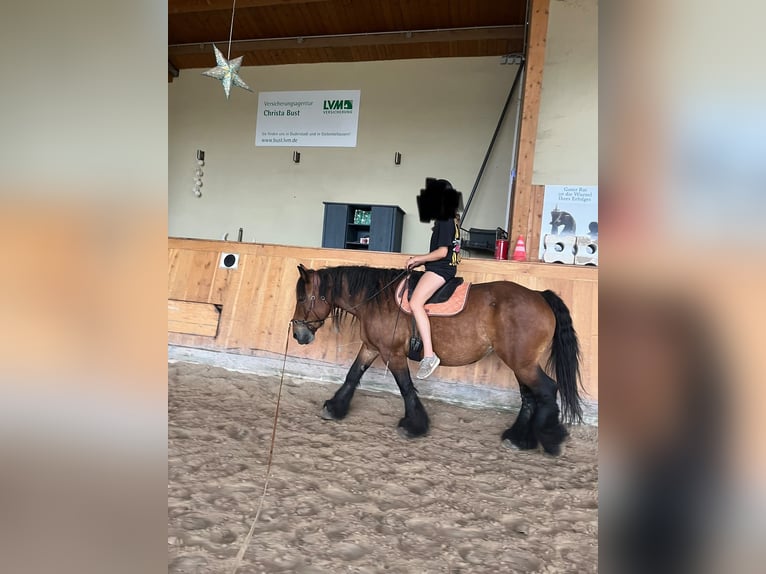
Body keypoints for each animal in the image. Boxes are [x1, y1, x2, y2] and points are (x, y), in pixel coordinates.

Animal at [290, 264, 583, 455]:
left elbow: (406, 387)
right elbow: (353, 374)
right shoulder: (372, 347)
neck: (376, 299)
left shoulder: (392, 353)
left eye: (302, 297)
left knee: (547, 390)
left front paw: (414, 425)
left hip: (522, 363)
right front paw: (334, 407)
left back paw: (550, 439)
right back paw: (519, 438)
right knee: (529, 397)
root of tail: (539, 295)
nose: (298, 334)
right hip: (520, 363)